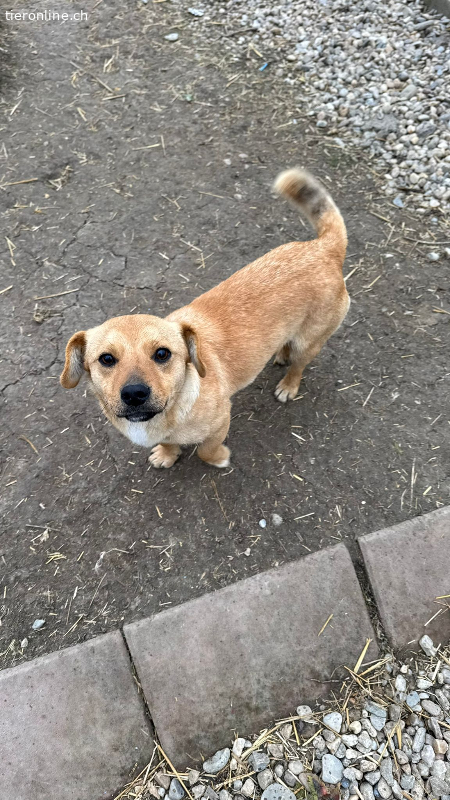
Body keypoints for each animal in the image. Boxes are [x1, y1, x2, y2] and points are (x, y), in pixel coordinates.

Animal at [60, 168, 349, 469]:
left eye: (162, 354)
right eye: (106, 359)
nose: (134, 394)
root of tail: (324, 247)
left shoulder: (221, 421)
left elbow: (205, 450)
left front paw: (220, 458)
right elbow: (169, 442)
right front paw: (167, 454)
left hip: (310, 341)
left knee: (299, 365)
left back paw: (288, 385)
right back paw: (281, 353)